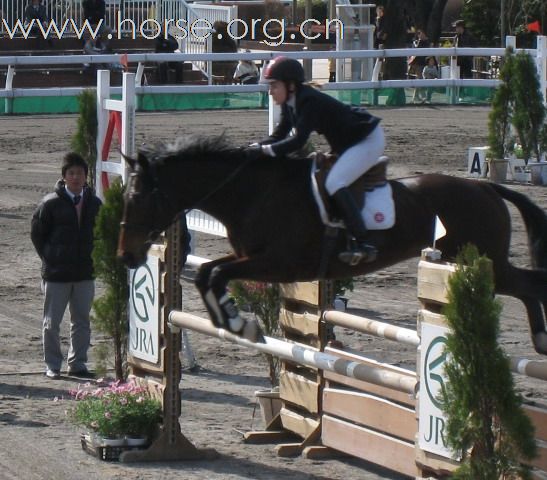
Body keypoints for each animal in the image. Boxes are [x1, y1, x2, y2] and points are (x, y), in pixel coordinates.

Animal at [119, 137, 547, 354]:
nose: (126, 256)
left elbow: (216, 273)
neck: (252, 193)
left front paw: (240, 323)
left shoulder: (280, 263)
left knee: (529, 285)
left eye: (138, 200)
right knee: (528, 285)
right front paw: (237, 323)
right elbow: (208, 273)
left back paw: (541, 343)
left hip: (484, 262)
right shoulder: (248, 256)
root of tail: (486, 188)